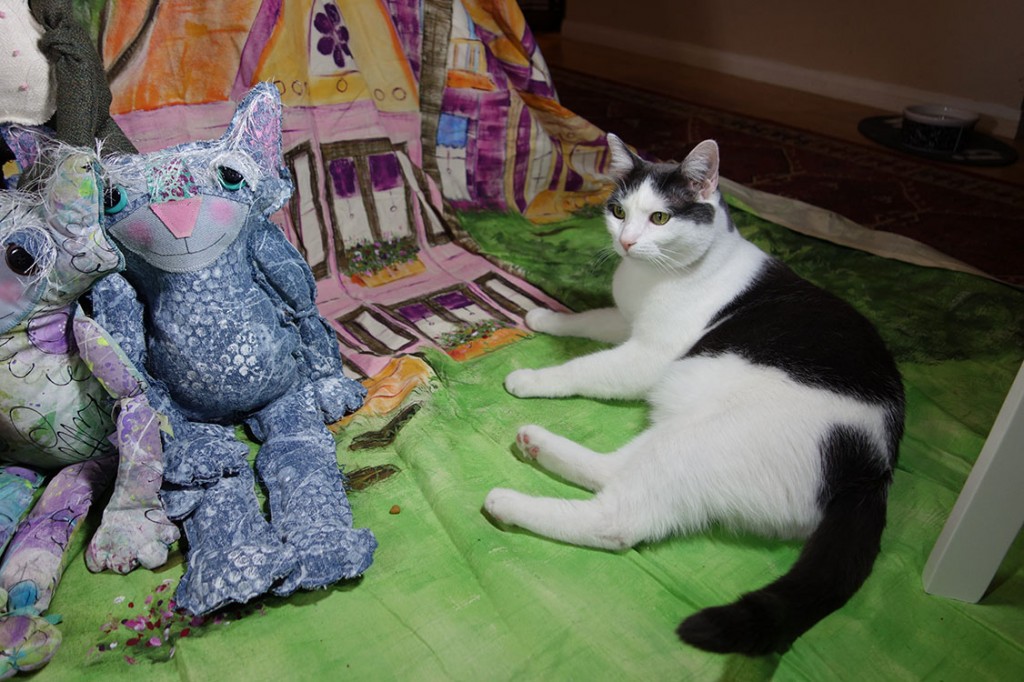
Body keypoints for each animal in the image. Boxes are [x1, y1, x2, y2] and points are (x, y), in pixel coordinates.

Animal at [481, 137, 905, 655]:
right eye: (618, 211)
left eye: (660, 218)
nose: (626, 242)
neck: (648, 278)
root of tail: (873, 469)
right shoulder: (625, 323)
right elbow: (590, 318)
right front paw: (546, 317)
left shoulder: (647, 357)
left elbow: (585, 367)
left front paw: (531, 378)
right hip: (680, 431)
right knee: (613, 470)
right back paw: (536, 444)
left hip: (700, 440)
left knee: (617, 521)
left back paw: (507, 502)